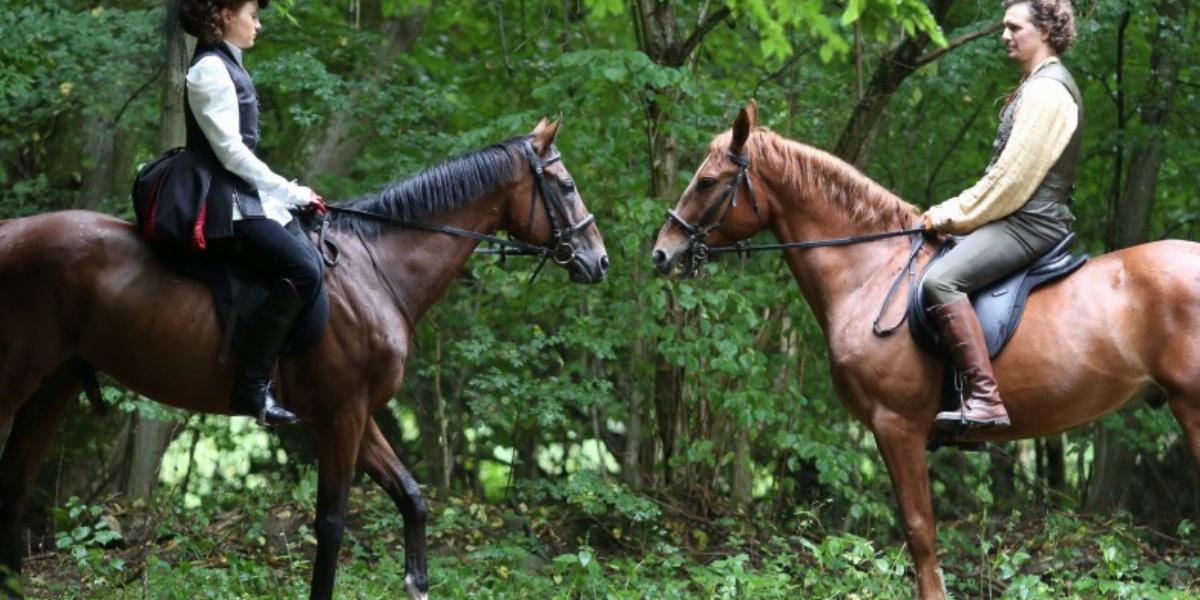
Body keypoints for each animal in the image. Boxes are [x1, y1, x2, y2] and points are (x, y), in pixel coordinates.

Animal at [0, 118, 600, 600]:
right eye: (566, 186)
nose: (599, 260)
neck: (376, 268)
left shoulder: (355, 413)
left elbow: (410, 496)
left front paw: (417, 582)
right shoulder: (341, 414)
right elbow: (331, 523)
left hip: (54, 385)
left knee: (16, 482)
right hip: (18, 377)